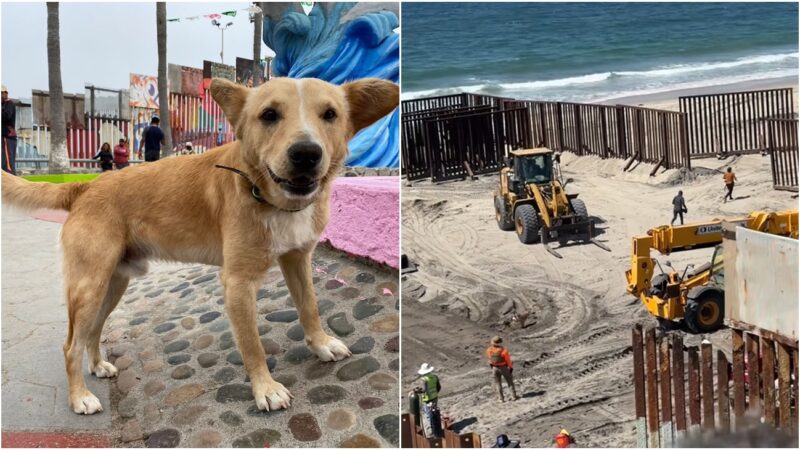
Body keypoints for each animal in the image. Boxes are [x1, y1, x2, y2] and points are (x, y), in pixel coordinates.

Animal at [0, 76, 398, 414]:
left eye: (330, 114)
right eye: (269, 115)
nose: (306, 154)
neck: (267, 195)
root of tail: (86, 186)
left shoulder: (298, 260)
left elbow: (310, 307)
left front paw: (320, 342)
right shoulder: (237, 283)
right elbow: (252, 343)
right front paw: (265, 388)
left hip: (113, 285)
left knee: (93, 331)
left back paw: (97, 366)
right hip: (89, 287)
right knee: (70, 345)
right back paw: (79, 396)